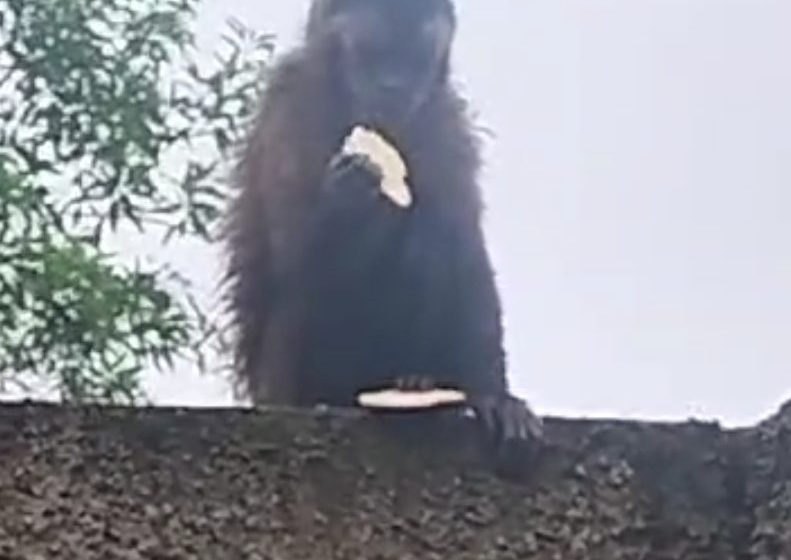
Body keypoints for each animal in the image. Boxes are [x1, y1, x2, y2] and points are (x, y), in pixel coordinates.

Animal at [223, 0, 542, 443]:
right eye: (373, 54)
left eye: (413, 61)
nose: (394, 88)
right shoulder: (291, 103)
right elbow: (288, 253)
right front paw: (345, 197)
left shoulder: (443, 118)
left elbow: (466, 244)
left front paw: (495, 396)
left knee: (433, 236)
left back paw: (416, 381)